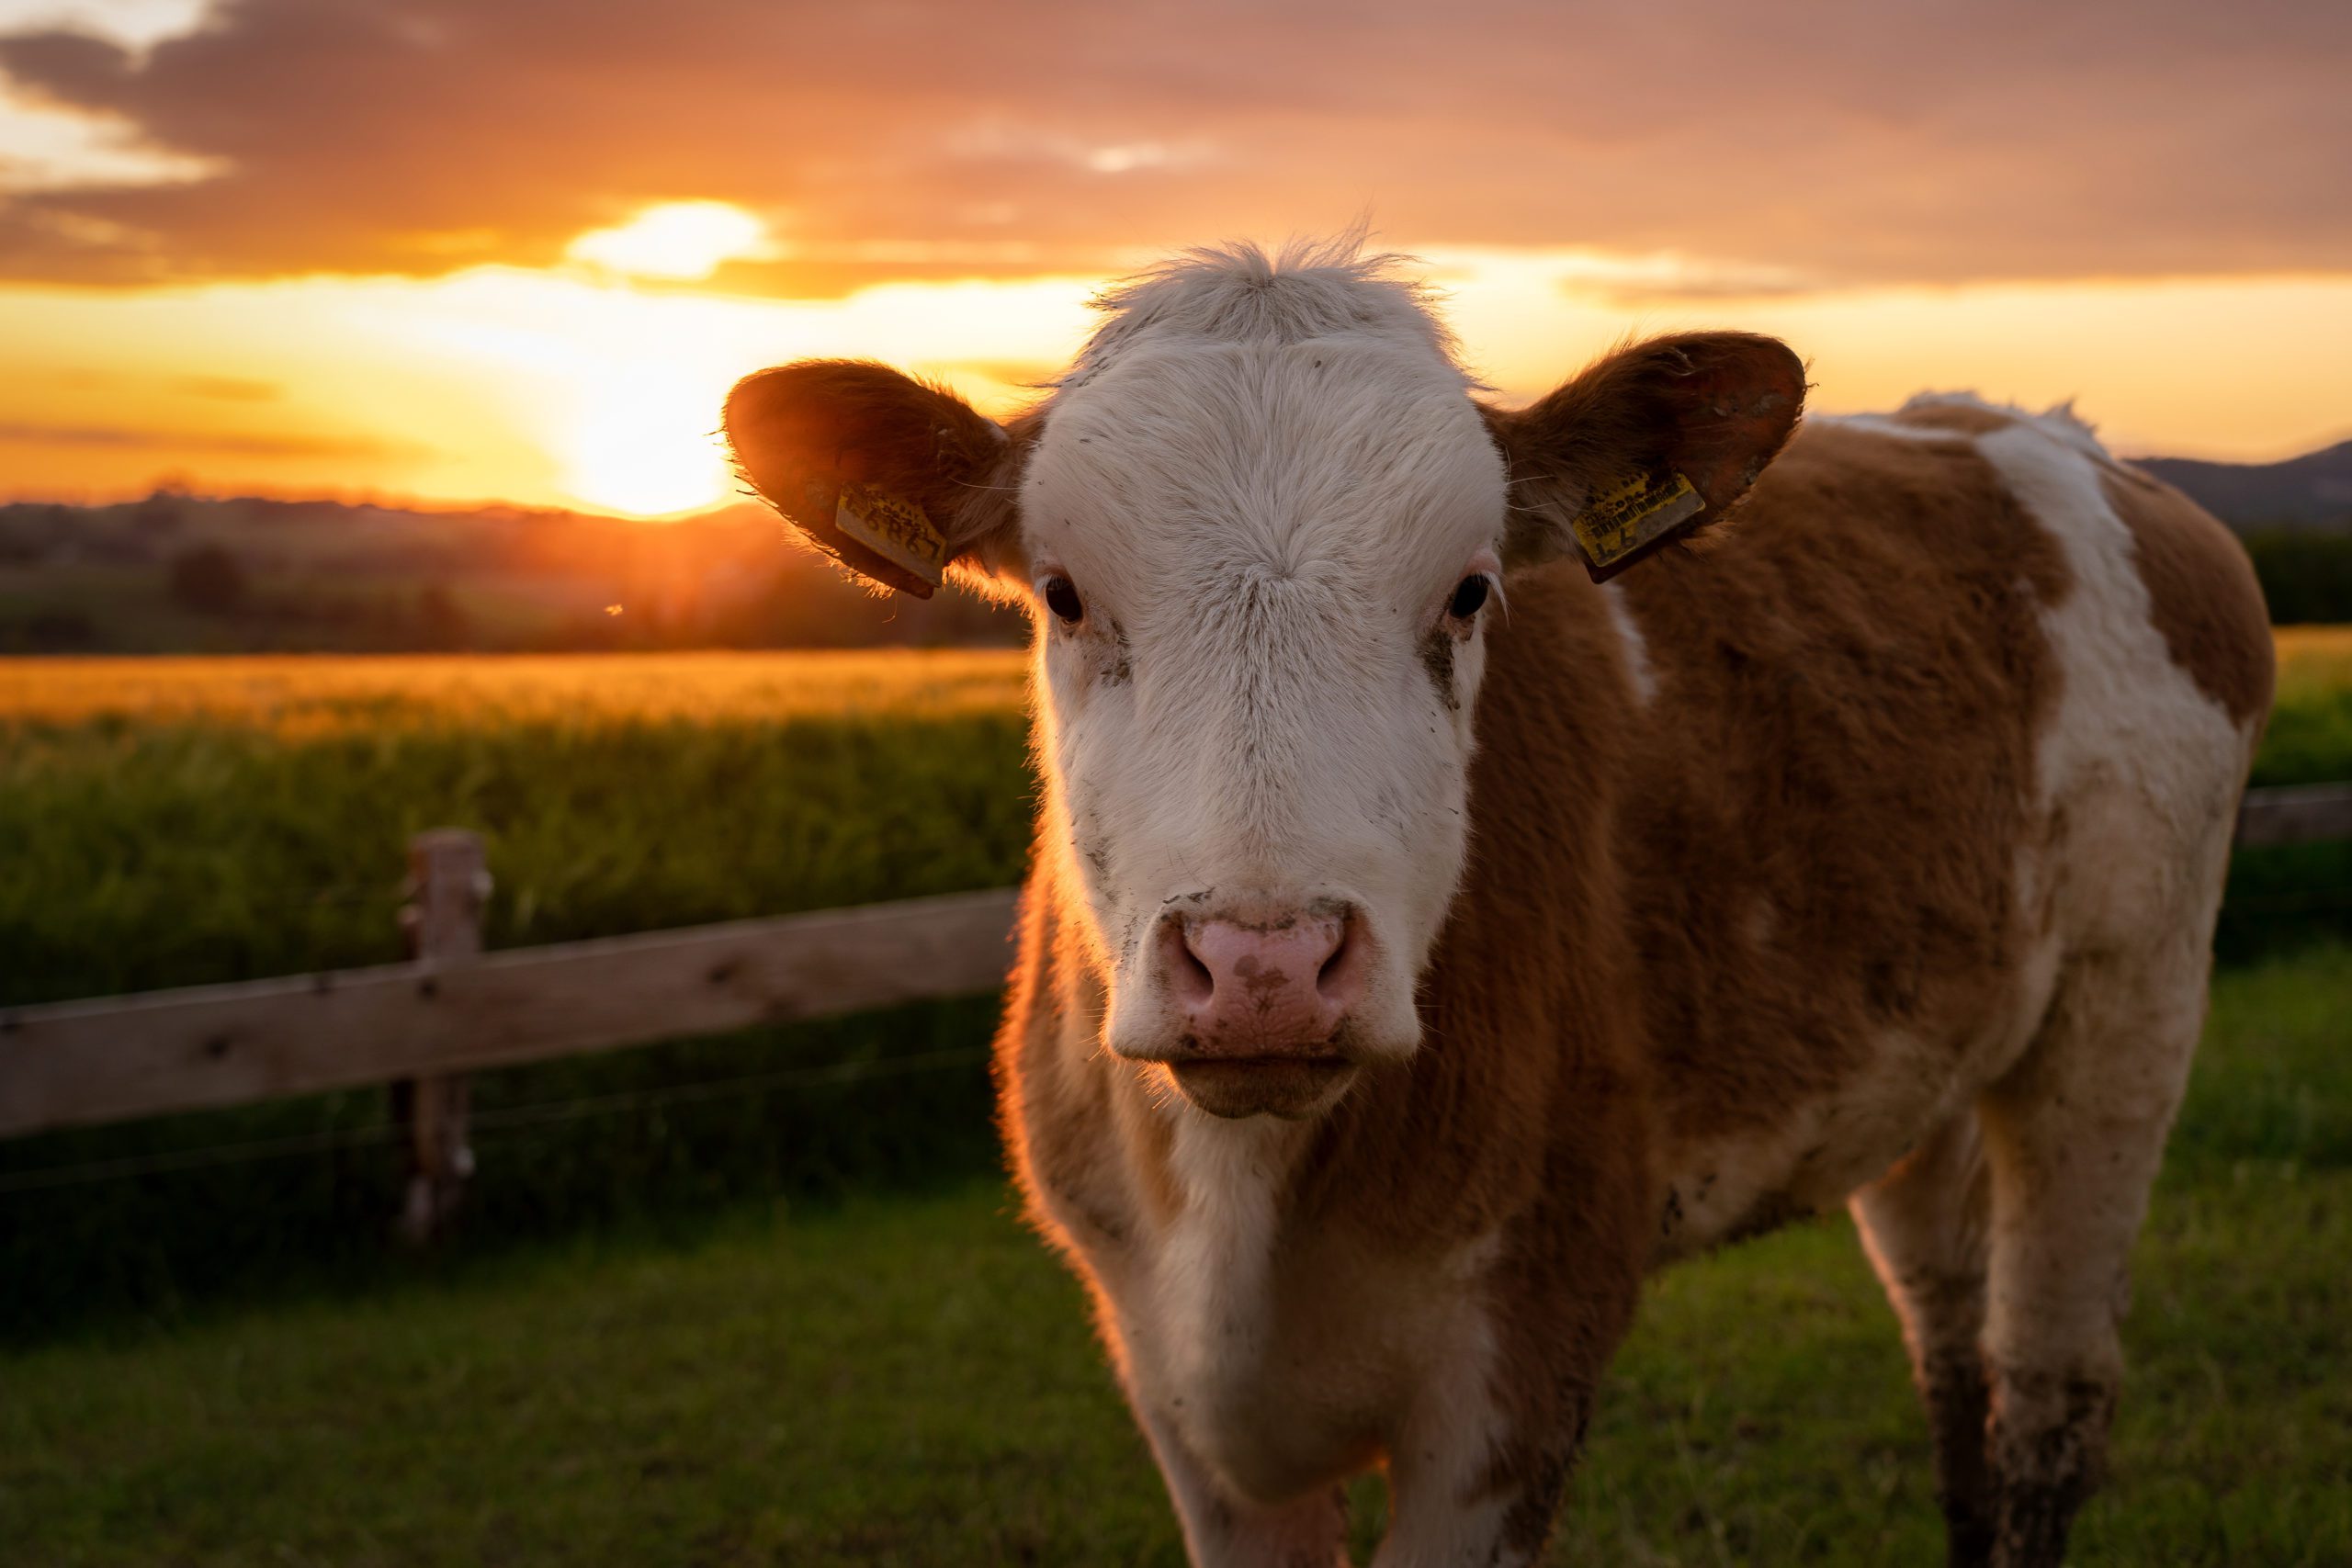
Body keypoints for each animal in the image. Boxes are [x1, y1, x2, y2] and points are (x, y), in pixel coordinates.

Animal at [724, 236, 2267, 1568]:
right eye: (1060, 593)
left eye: (1469, 592)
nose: (1267, 966)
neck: (1244, 1207)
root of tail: (2031, 432)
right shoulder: (1176, 1391)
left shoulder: (1520, 1359)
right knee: (1949, 1344)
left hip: (2127, 1007)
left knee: (2048, 1385)